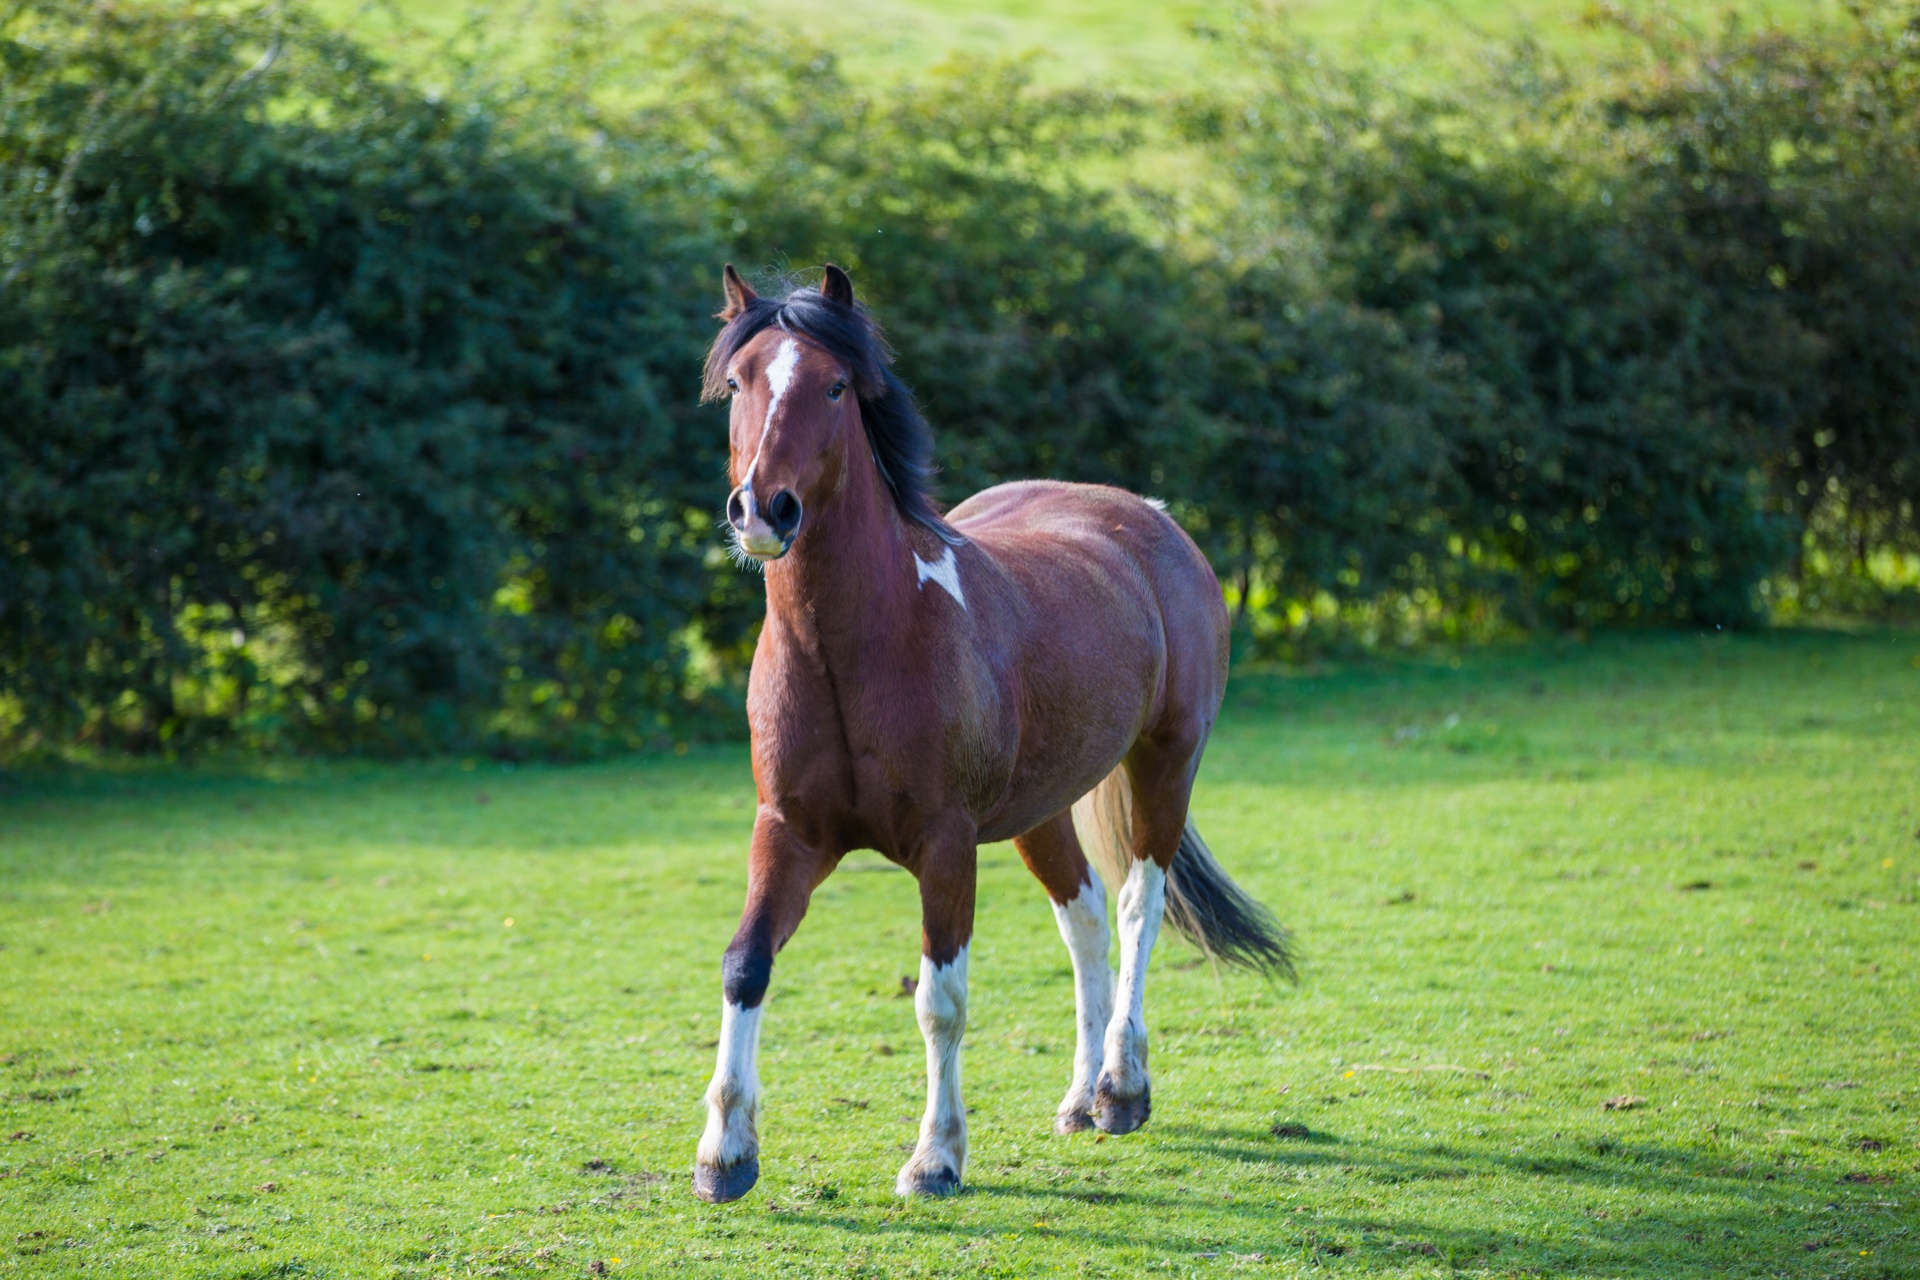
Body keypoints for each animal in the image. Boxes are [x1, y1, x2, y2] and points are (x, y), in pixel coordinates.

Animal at [691, 264, 1290, 1205]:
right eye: (742, 381)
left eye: (834, 384)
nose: (764, 508)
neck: (861, 644)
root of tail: (1150, 517)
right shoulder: (787, 832)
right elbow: (745, 964)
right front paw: (725, 1153)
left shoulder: (945, 845)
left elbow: (941, 999)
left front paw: (935, 1157)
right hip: (1042, 811)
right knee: (1085, 920)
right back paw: (1081, 1099)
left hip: (1165, 766)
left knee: (1137, 907)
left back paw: (1121, 1088)